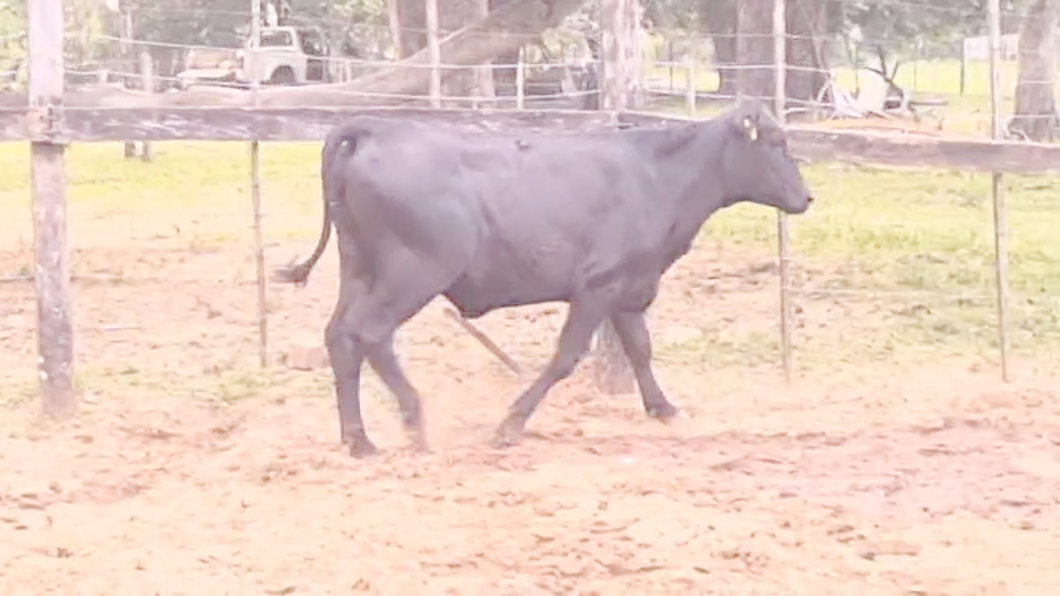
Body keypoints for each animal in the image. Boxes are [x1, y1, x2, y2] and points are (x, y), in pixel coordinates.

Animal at [273, 98, 809, 453]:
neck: (657, 175)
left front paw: (665, 410)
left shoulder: (627, 288)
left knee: (340, 336)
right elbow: (566, 358)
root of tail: (377, 128)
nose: (807, 197)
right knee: (370, 334)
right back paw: (414, 419)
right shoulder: (597, 287)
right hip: (413, 271)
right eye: (777, 142)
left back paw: (358, 440)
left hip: (359, 267)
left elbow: (640, 350)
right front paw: (510, 424)